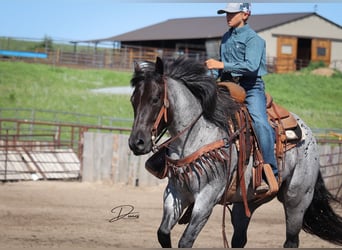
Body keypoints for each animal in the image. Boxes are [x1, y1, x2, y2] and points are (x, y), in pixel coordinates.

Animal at [128, 57, 342, 248]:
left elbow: (185, 241)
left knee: (291, 240)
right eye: (133, 100)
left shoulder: (207, 198)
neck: (197, 135)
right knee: (239, 238)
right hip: (247, 202)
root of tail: (308, 133)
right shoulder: (176, 192)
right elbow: (163, 234)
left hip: (297, 199)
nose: (137, 142)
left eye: (155, 99)